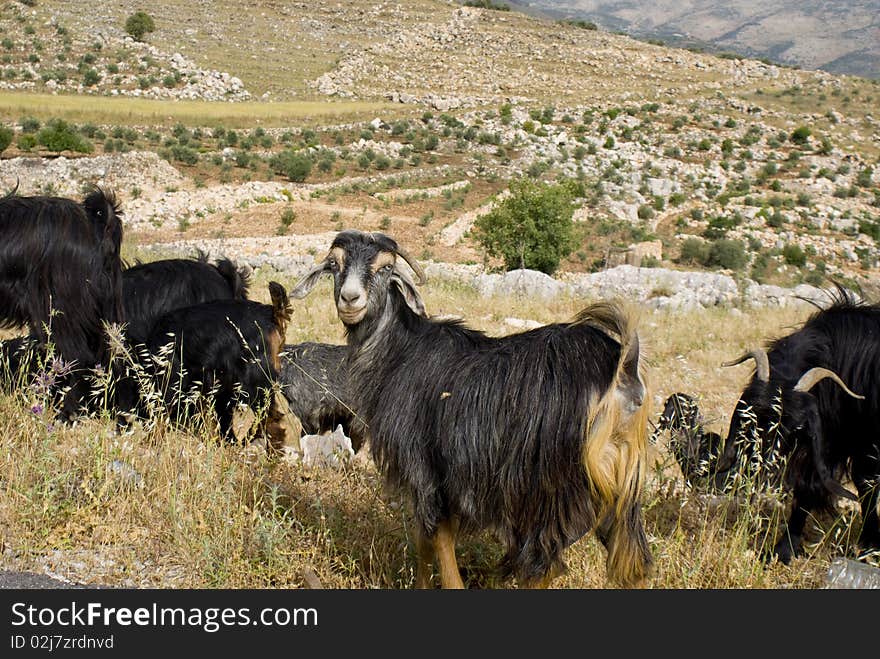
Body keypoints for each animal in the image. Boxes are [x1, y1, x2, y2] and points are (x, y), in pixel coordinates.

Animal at [292, 231, 648, 588]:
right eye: (334, 264)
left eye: (386, 268)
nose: (350, 299)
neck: (399, 352)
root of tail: (621, 370)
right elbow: (426, 536)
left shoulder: (423, 464)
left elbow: (434, 535)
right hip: (618, 487)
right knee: (629, 562)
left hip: (547, 489)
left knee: (542, 564)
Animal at [696, 286, 876, 564]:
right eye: (751, 420)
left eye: (795, 429)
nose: (762, 470)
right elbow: (810, 487)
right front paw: (784, 549)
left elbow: (861, 488)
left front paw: (868, 547)